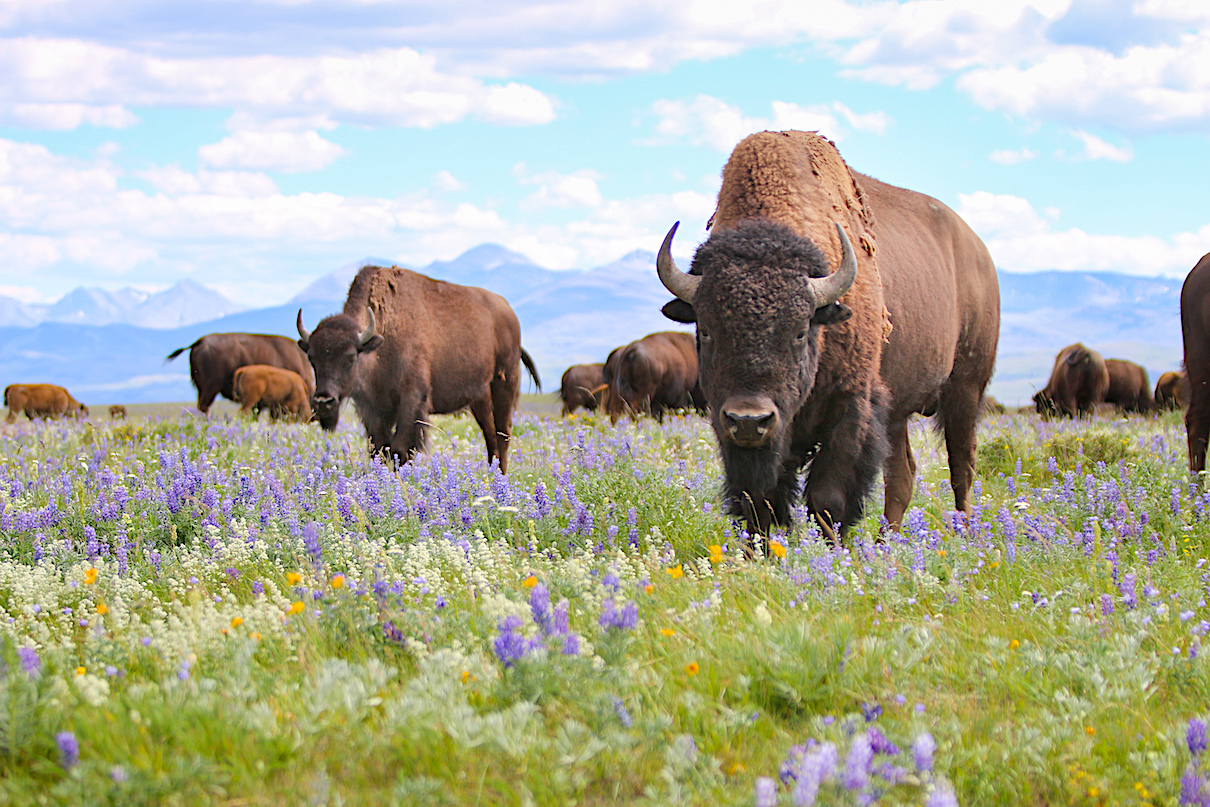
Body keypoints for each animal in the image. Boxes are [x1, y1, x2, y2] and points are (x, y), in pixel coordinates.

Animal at [295, 264, 542, 469]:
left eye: (350, 357)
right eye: (312, 358)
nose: (323, 401)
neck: (380, 341)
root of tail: (509, 313)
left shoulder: (412, 400)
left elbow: (401, 449)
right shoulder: (371, 408)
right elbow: (380, 449)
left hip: (504, 383)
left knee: (502, 433)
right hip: (479, 398)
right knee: (490, 435)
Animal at [658, 129, 997, 539]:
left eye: (800, 331)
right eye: (706, 330)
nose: (750, 419)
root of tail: (979, 251)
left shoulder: (849, 406)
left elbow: (828, 499)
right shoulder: (731, 422)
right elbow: (758, 500)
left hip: (965, 388)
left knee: (961, 465)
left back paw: (964, 533)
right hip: (898, 409)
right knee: (903, 474)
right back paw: (886, 541)